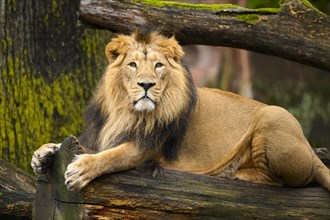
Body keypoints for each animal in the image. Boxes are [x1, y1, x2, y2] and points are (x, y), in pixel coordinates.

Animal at [31, 31, 330, 192]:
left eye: (159, 65)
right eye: (132, 65)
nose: (146, 85)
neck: (125, 110)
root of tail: (309, 149)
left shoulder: (145, 147)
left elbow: (111, 157)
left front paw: (81, 170)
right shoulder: (104, 134)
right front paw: (42, 154)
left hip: (275, 115)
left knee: (283, 182)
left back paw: (235, 174)